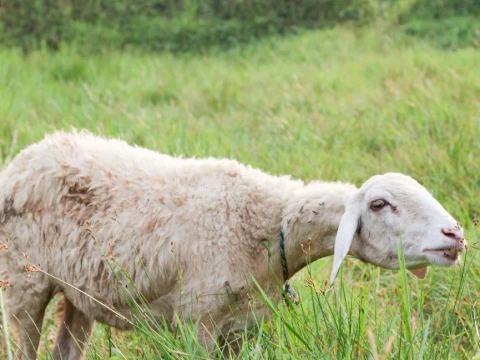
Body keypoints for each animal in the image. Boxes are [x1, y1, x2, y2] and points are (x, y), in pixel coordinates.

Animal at [0, 130, 464, 360]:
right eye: (379, 204)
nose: (456, 234)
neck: (268, 228)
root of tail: (25, 157)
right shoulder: (197, 323)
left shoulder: (241, 326)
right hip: (23, 283)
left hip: (78, 291)